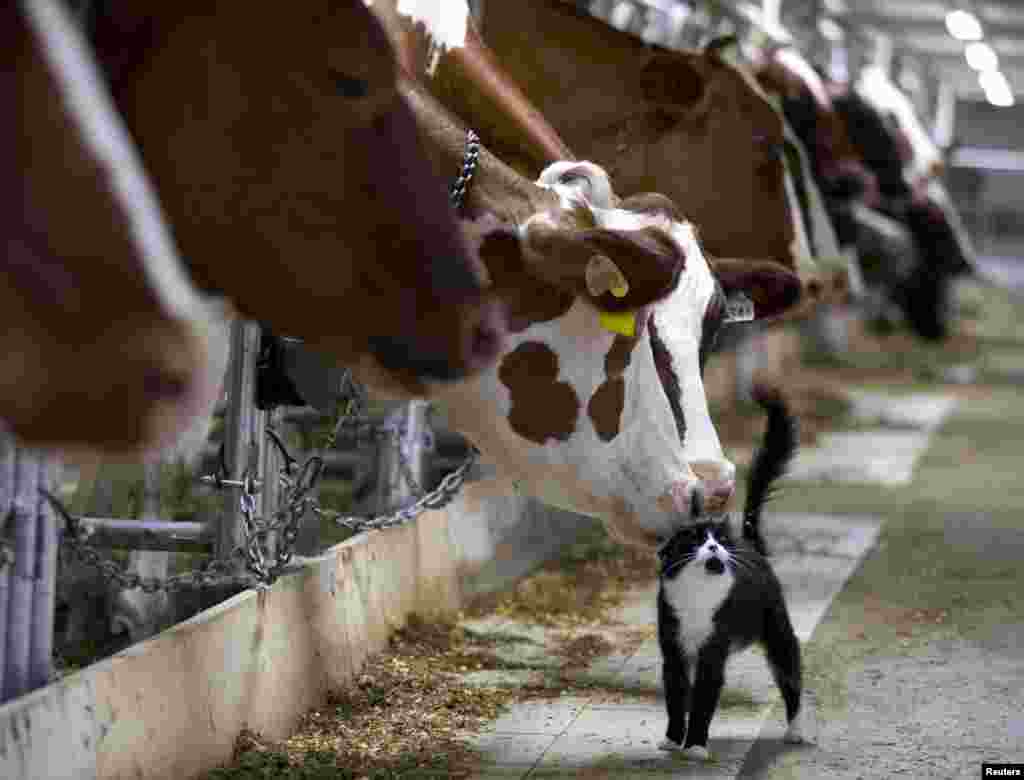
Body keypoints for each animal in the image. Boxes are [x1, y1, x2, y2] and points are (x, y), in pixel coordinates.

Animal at [655, 386, 806, 757]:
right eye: (695, 539)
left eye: (719, 539)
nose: (714, 546)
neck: (697, 593)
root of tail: (752, 545)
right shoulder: (673, 652)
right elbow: (676, 699)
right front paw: (672, 739)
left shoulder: (712, 653)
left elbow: (703, 700)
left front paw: (695, 745)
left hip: (778, 633)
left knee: (792, 678)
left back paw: (795, 731)